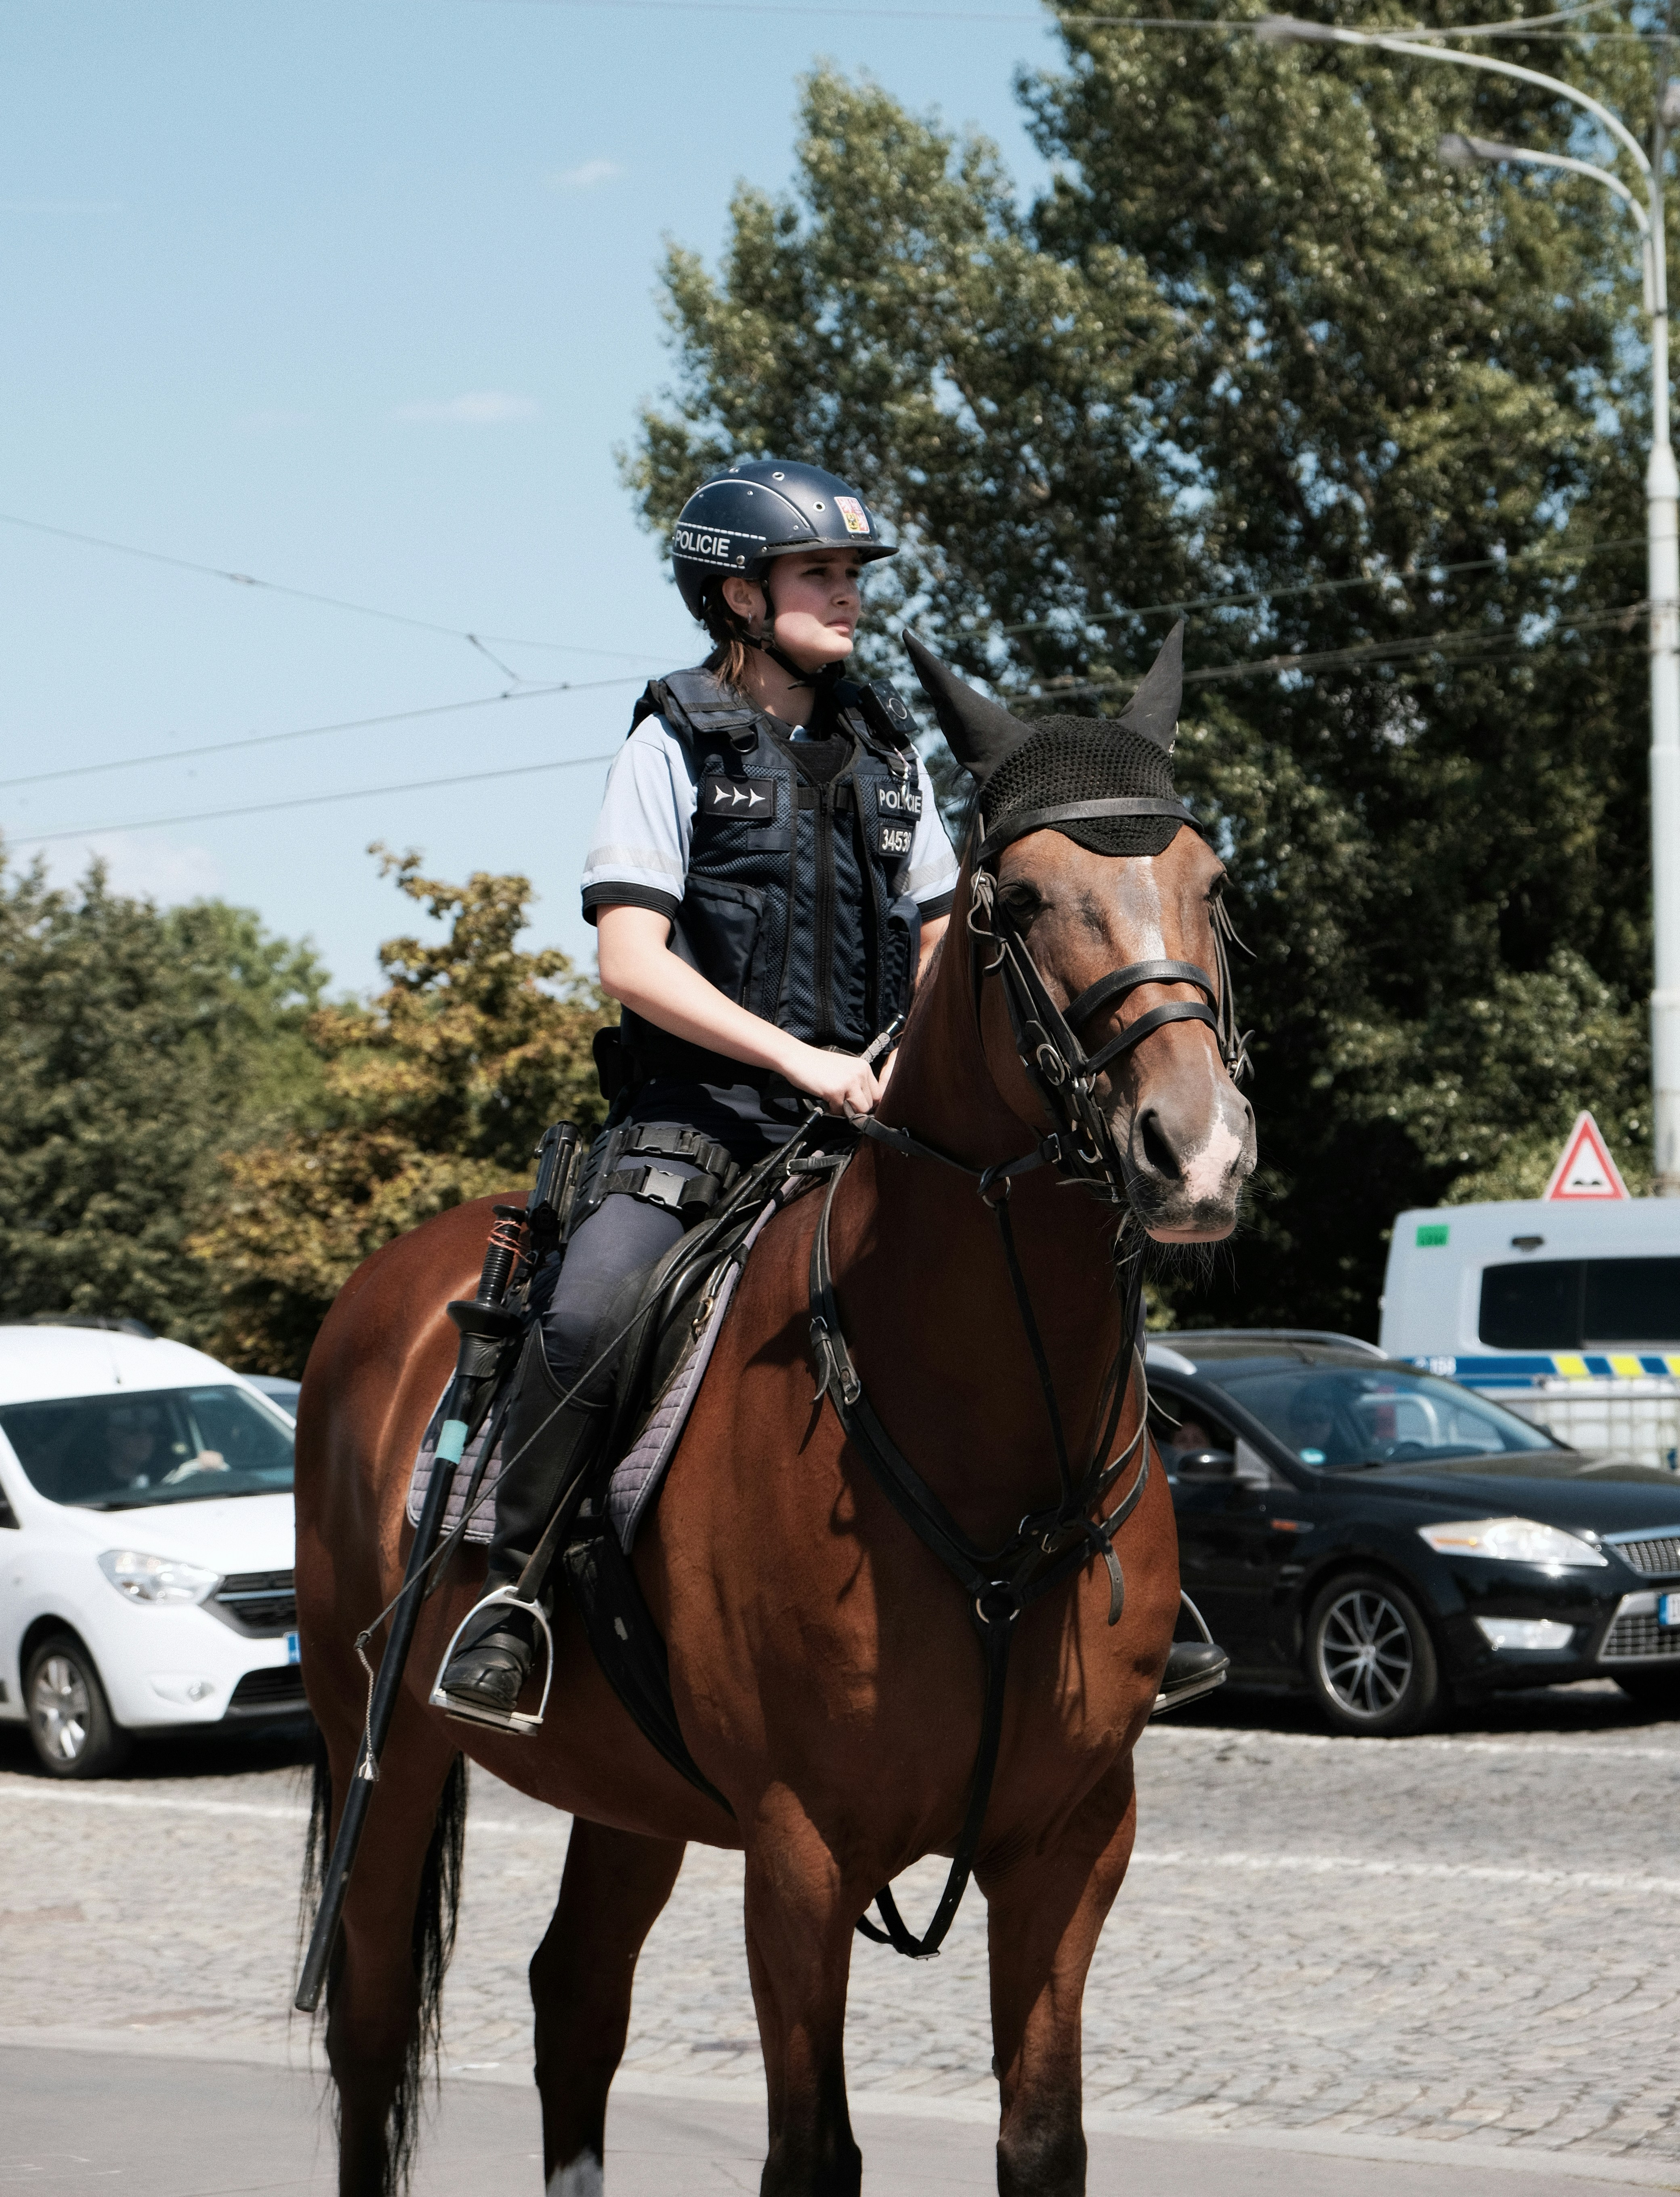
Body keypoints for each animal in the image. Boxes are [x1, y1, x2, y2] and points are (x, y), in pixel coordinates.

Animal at [293, 638, 1256, 2197]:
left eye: (1211, 882)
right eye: (1015, 902)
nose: (1197, 1150)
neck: (988, 1450)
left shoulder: (1071, 1843)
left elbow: (1042, 2139)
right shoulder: (801, 1852)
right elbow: (813, 2151)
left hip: (628, 1790)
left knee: (575, 1998)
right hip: (381, 1751)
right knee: (371, 2029)